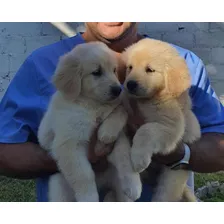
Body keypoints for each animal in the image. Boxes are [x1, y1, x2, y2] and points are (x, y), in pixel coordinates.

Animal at [37, 41, 141, 201]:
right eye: (96, 72)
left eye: (114, 70)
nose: (118, 90)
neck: (93, 105)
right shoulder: (69, 144)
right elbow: (83, 176)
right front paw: (89, 198)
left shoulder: (119, 137)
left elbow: (124, 155)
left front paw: (133, 184)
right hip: (59, 186)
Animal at [122, 38, 201, 201]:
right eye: (129, 67)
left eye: (150, 70)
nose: (130, 84)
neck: (147, 100)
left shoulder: (171, 126)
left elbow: (145, 130)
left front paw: (138, 158)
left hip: (173, 176)